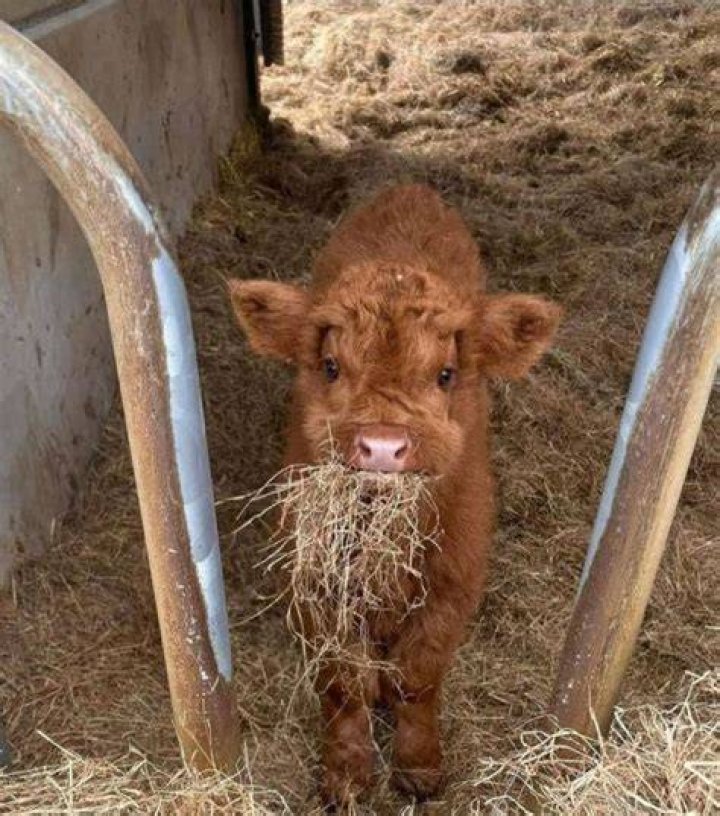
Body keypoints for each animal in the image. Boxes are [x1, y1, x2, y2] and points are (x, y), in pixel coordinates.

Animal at [229, 183, 561, 807]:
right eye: (331, 366)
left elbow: (417, 677)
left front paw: (419, 769)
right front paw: (346, 777)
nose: (383, 446)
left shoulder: (454, 579)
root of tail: (408, 189)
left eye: (446, 375)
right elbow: (342, 681)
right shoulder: (315, 583)